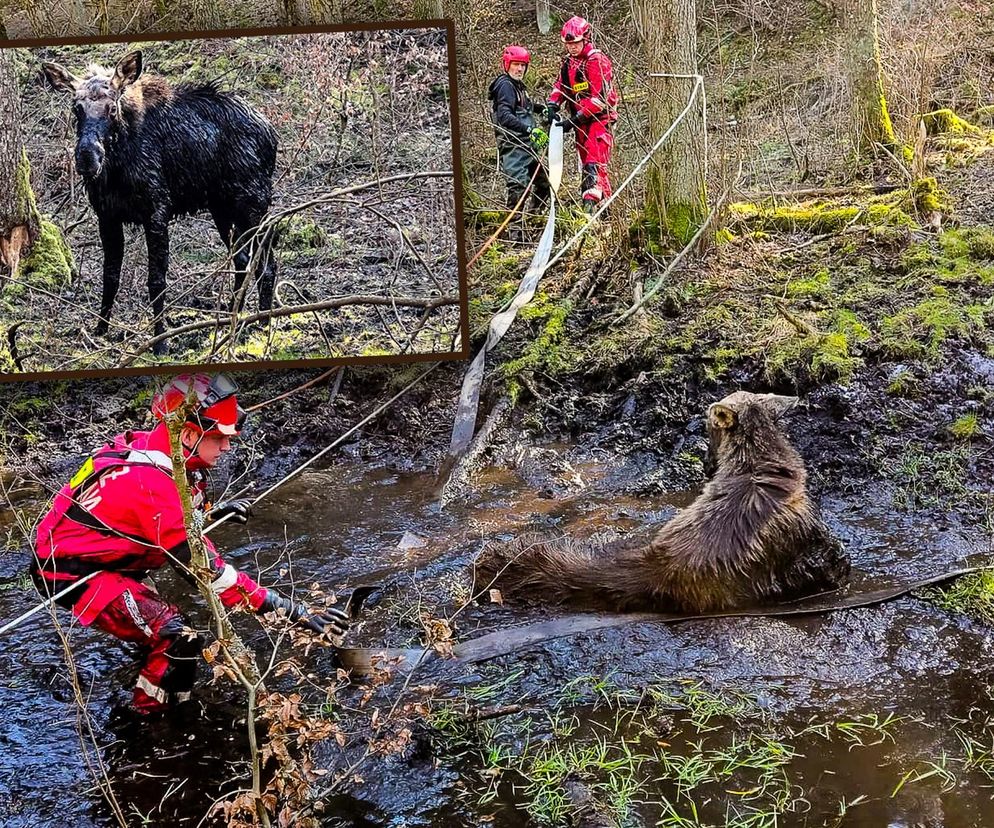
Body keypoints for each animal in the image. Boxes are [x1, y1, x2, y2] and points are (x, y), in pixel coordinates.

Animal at [40, 48, 278, 352]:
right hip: (222, 210)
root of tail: (271, 132)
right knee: (243, 259)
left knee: (267, 262)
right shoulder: (107, 216)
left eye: (112, 108)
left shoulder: (156, 211)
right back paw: (230, 316)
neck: (118, 168)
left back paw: (263, 321)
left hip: (252, 203)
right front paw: (101, 329)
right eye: (76, 108)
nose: (87, 157)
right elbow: (110, 275)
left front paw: (160, 340)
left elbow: (156, 280)